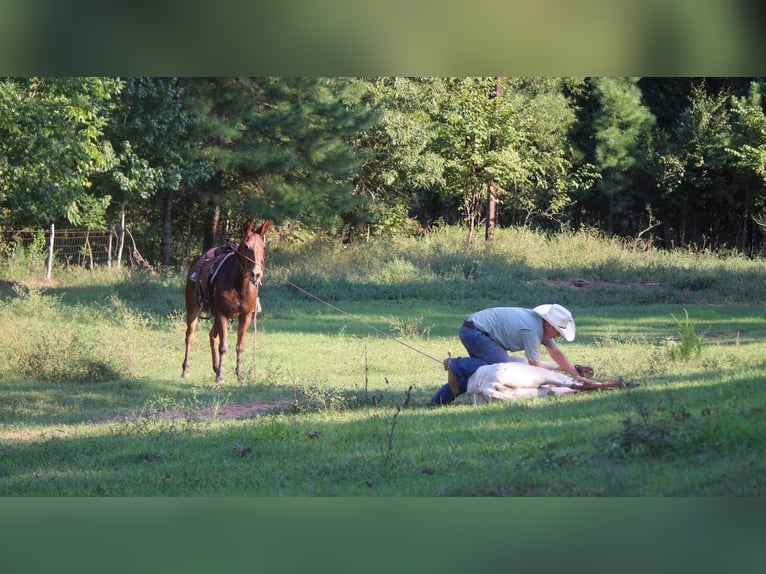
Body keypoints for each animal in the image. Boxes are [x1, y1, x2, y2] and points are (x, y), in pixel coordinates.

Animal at [182, 218, 272, 384]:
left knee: (212, 336)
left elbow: (239, 346)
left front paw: (239, 375)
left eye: (262, 247)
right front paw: (220, 377)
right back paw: (186, 370)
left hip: (217, 316)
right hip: (193, 310)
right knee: (190, 337)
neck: (239, 284)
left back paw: (216, 367)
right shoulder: (222, 314)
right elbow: (223, 346)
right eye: (246, 246)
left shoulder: (245, 316)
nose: (256, 274)